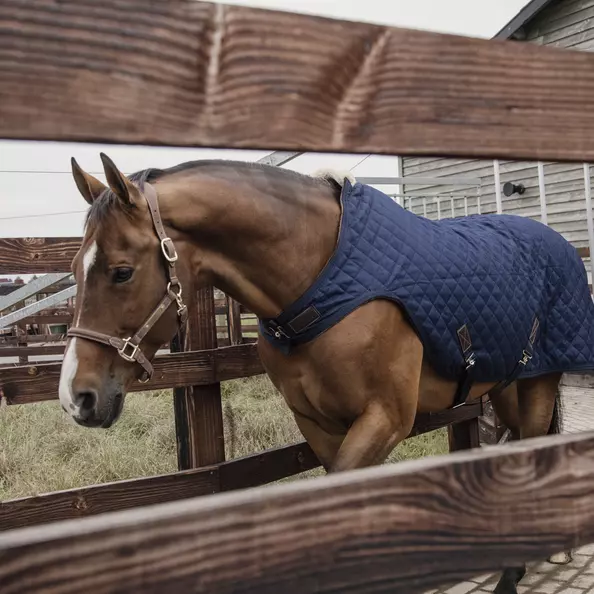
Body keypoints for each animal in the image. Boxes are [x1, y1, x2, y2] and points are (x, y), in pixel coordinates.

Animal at [57, 154, 568, 592]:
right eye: (74, 268)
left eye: (121, 271)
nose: (76, 397)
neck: (320, 282)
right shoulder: (317, 422)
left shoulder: (385, 417)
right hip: (504, 385)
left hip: (539, 381)